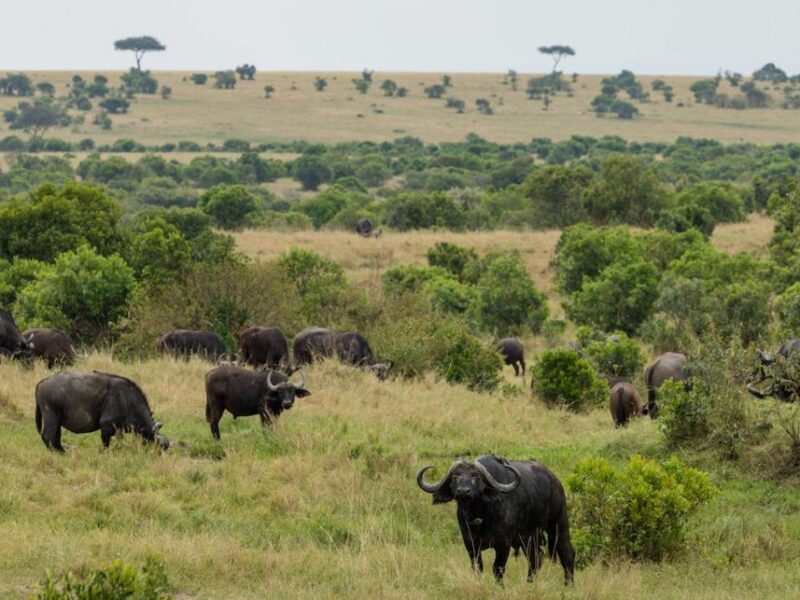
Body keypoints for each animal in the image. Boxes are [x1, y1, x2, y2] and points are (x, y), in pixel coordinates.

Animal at [35, 371, 169, 452]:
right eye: (160, 445)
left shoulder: (118, 428)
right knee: (48, 436)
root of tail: (42, 382)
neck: (128, 399)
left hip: (56, 422)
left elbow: (119, 441)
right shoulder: (107, 425)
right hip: (51, 418)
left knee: (55, 437)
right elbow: (106, 443)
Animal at [417, 455, 575, 584]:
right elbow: (478, 566)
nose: (463, 491)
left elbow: (497, 568)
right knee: (536, 557)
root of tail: (555, 482)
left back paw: (569, 585)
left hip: (558, 524)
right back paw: (530, 582)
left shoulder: (503, 543)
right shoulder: (470, 543)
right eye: (456, 476)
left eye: (476, 476)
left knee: (566, 553)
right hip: (529, 537)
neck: (481, 516)